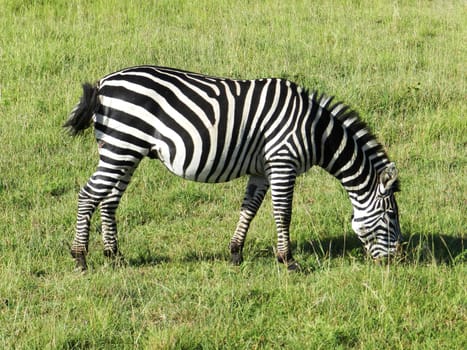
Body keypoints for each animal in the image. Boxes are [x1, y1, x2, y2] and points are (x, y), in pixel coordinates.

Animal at [64, 65, 404, 272]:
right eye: (391, 216)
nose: (398, 261)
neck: (314, 131)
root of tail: (104, 83)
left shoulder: (262, 170)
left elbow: (249, 209)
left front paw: (236, 252)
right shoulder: (283, 162)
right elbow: (283, 213)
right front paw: (288, 261)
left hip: (123, 150)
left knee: (109, 199)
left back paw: (114, 255)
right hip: (121, 147)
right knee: (88, 195)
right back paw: (80, 257)